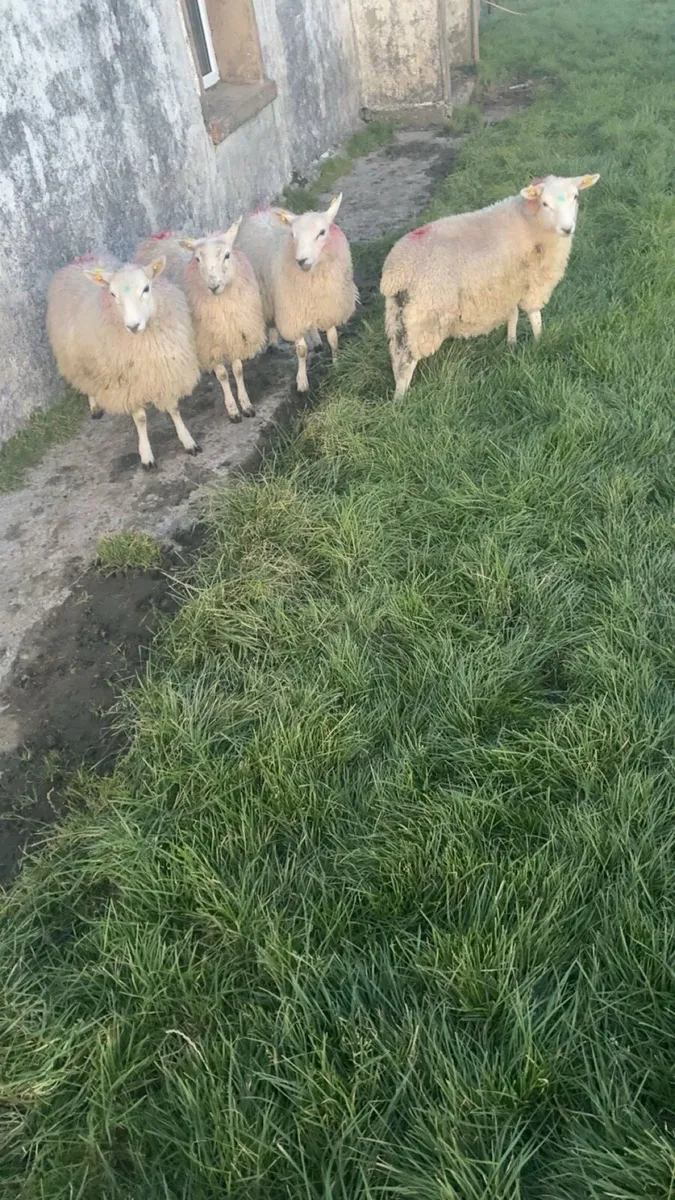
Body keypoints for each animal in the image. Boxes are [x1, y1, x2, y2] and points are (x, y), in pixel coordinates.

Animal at [46, 252, 201, 467]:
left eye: (146, 288)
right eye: (112, 294)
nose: (133, 326)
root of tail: (81, 259)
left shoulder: (165, 371)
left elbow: (174, 408)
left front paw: (188, 441)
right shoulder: (126, 383)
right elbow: (140, 418)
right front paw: (146, 454)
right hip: (77, 360)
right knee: (86, 382)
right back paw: (94, 406)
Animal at [135, 223, 266, 422]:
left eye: (227, 255)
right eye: (197, 259)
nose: (213, 286)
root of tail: (155, 236)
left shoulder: (235, 333)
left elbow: (237, 370)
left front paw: (246, 405)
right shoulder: (207, 341)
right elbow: (223, 375)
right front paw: (233, 410)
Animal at [237, 194, 358, 392]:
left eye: (322, 232)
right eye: (293, 235)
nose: (301, 260)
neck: (312, 278)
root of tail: (263, 210)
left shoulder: (329, 307)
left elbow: (333, 339)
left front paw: (337, 364)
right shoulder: (292, 312)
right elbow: (301, 350)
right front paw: (302, 382)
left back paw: (316, 340)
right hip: (267, 295)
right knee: (272, 319)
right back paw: (273, 341)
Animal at [380, 173, 600, 397]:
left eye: (576, 196)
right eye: (545, 203)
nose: (567, 229)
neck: (531, 220)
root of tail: (395, 272)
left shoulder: (508, 283)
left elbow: (512, 314)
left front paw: (511, 343)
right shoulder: (533, 281)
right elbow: (534, 315)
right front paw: (541, 341)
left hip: (399, 314)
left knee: (397, 354)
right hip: (425, 314)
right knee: (408, 361)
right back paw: (401, 398)